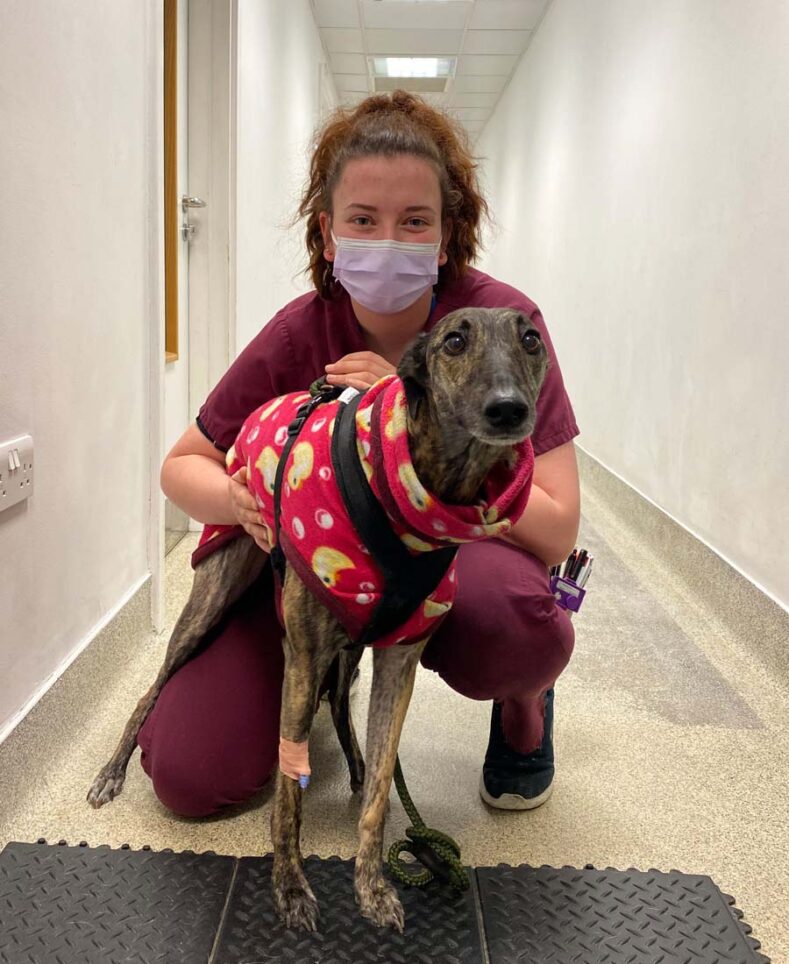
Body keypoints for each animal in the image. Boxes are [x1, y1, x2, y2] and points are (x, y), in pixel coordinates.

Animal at [87, 306, 548, 932]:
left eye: (532, 339)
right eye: (454, 341)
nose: (509, 409)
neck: (415, 490)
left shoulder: (399, 661)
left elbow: (380, 785)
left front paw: (372, 885)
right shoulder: (302, 657)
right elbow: (288, 786)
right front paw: (290, 886)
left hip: (346, 643)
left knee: (341, 705)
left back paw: (353, 762)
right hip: (216, 593)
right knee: (150, 691)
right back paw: (111, 773)